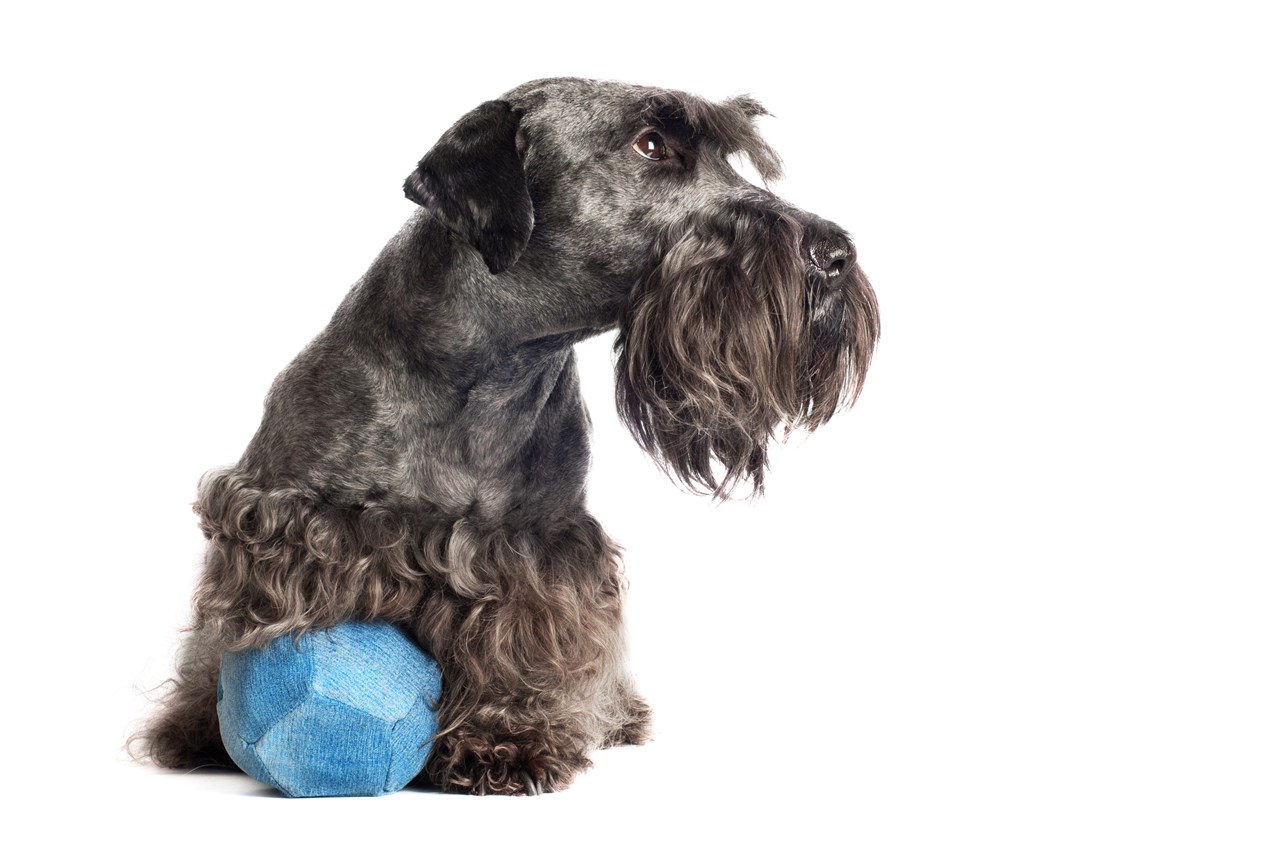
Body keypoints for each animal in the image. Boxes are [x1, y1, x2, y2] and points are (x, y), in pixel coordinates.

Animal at [137, 76, 880, 794]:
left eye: (728, 157)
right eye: (650, 144)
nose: (836, 254)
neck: (495, 372)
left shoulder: (538, 549)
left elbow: (521, 647)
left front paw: (504, 741)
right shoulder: (281, 518)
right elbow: (236, 626)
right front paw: (205, 722)